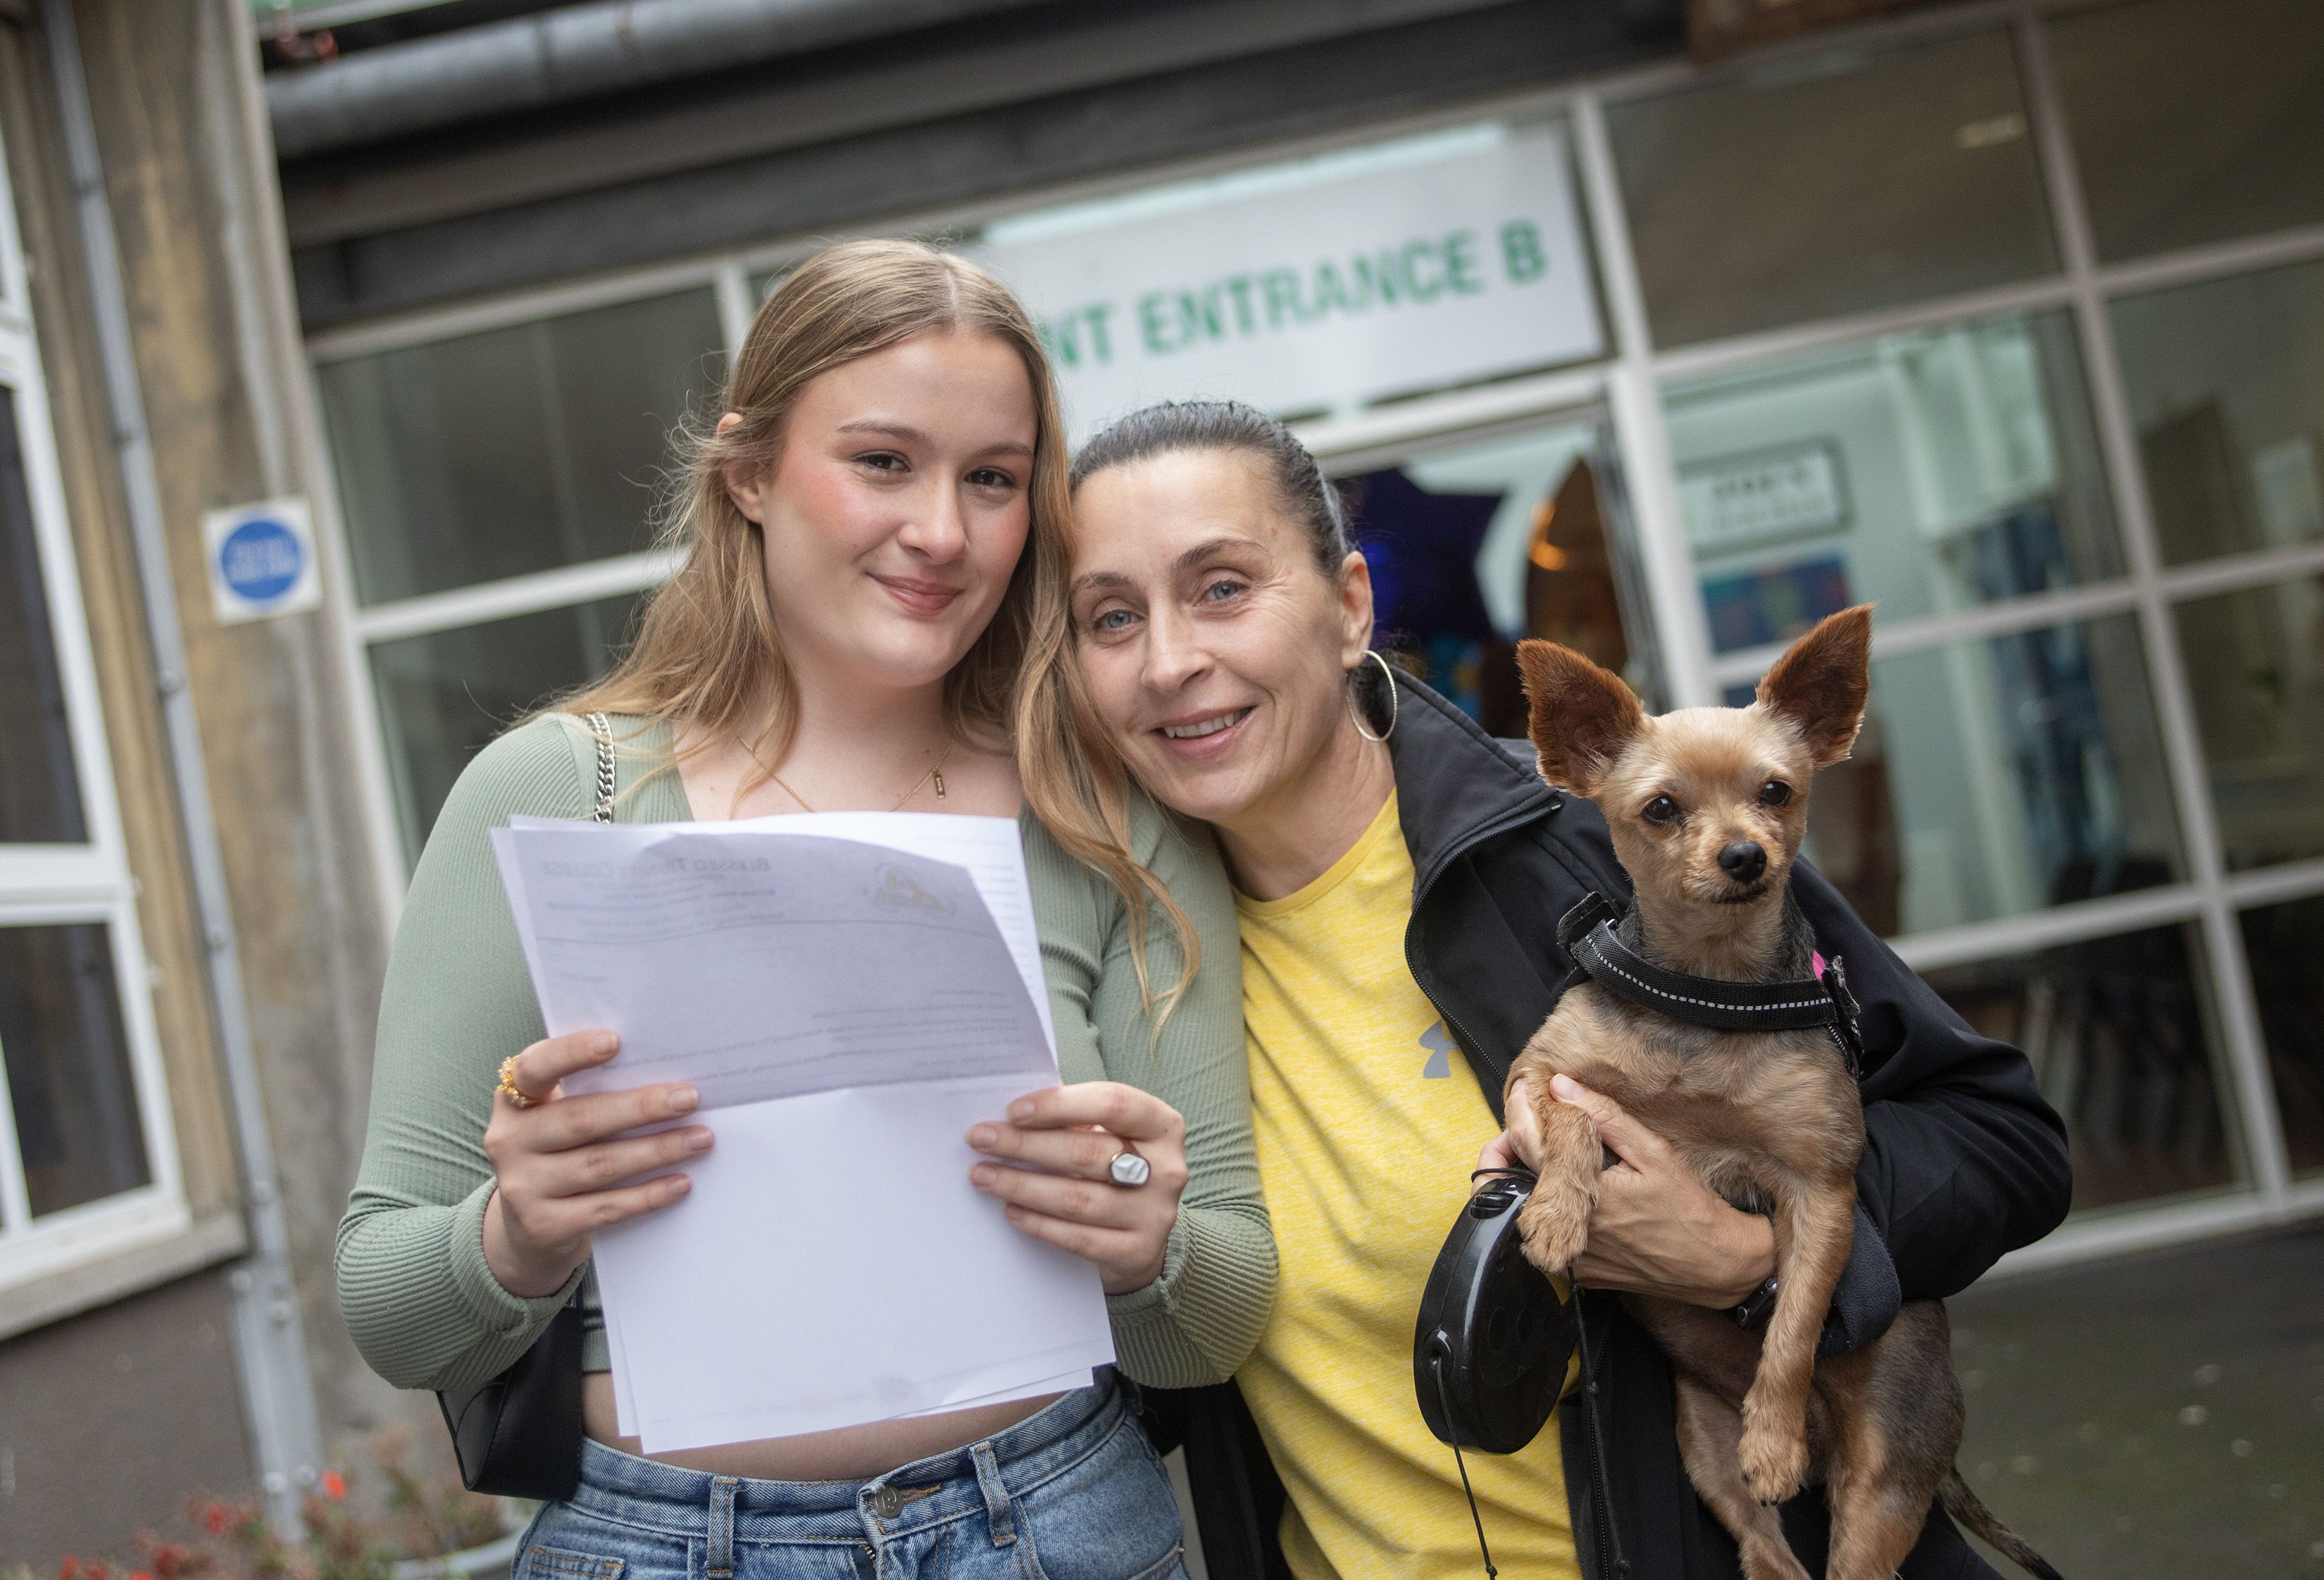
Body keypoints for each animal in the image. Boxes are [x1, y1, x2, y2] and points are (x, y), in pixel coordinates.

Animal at [1506, 609, 2054, 1580]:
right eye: (1661, 808)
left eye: (1777, 791)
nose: (1742, 854)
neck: (1709, 992)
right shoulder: (1538, 1074)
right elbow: (1574, 1118)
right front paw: (1559, 1215)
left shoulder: (1821, 1191)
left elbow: (1795, 1323)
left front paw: (1772, 1435)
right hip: (1700, 1445)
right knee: (1769, 1553)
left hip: (1883, 1482)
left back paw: (1787, 1446)